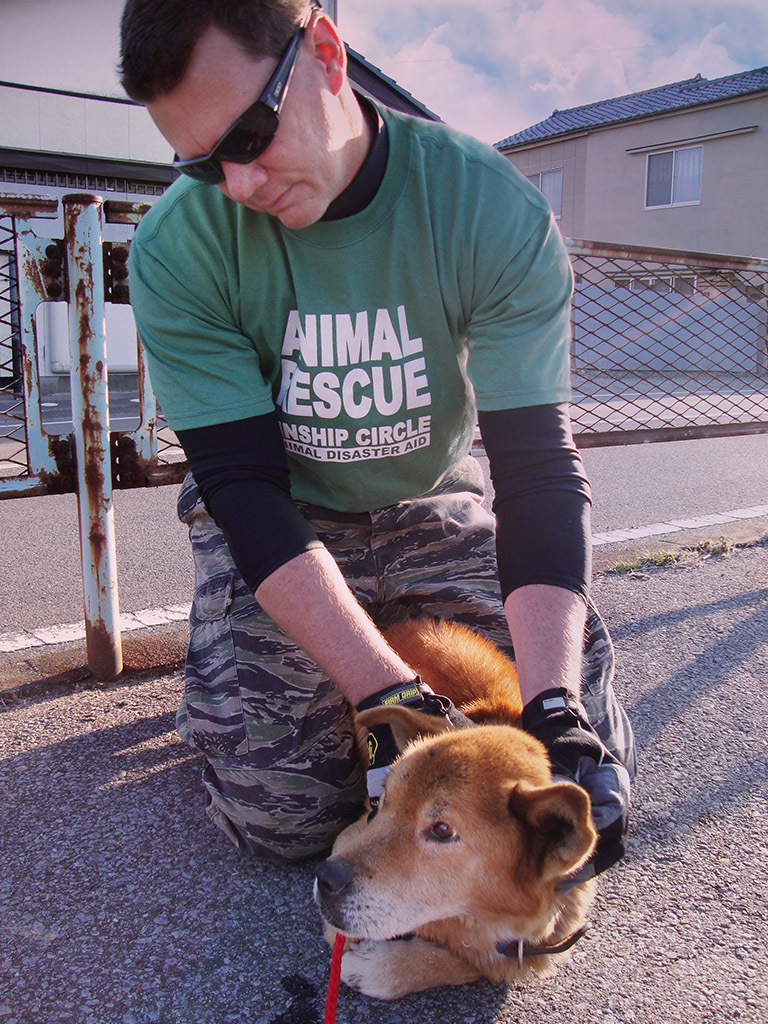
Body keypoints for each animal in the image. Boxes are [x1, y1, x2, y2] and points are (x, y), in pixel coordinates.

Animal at [313, 614, 602, 999]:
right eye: (382, 802)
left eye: (442, 830)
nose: (325, 878)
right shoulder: (349, 836)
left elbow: (471, 963)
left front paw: (389, 965)